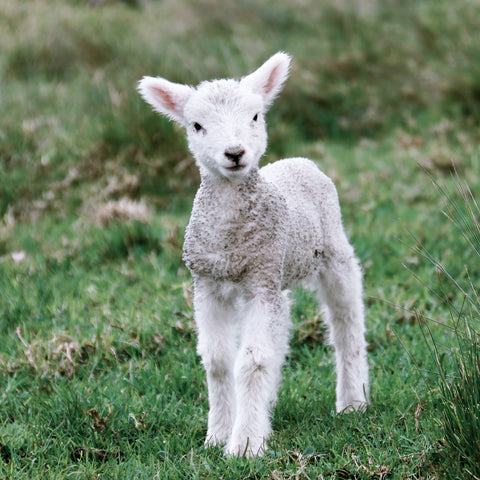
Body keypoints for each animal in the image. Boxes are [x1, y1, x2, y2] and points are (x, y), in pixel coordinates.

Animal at [137, 51, 370, 458]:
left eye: (256, 116)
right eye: (196, 125)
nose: (234, 153)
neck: (230, 239)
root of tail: (300, 161)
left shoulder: (260, 281)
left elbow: (251, 361)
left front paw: (244, 445)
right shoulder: (209, 284)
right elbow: (218, 362)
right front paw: (217, 435)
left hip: (332, 251)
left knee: (346, 321)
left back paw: (352, 400)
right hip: (279, 274)